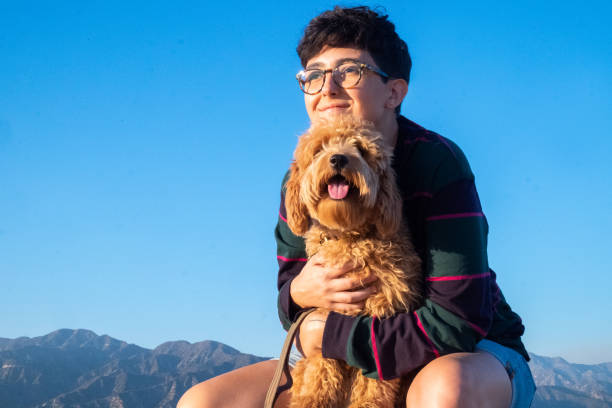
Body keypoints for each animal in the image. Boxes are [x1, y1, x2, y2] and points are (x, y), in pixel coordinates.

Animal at [284, 115, 424, 408]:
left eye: (359, 149)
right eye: (319, 149)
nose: (338, 158)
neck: (349, 235)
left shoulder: (381, 319)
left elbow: (374, 381)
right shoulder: (323, 313)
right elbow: (322, 372)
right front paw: (314, 400)